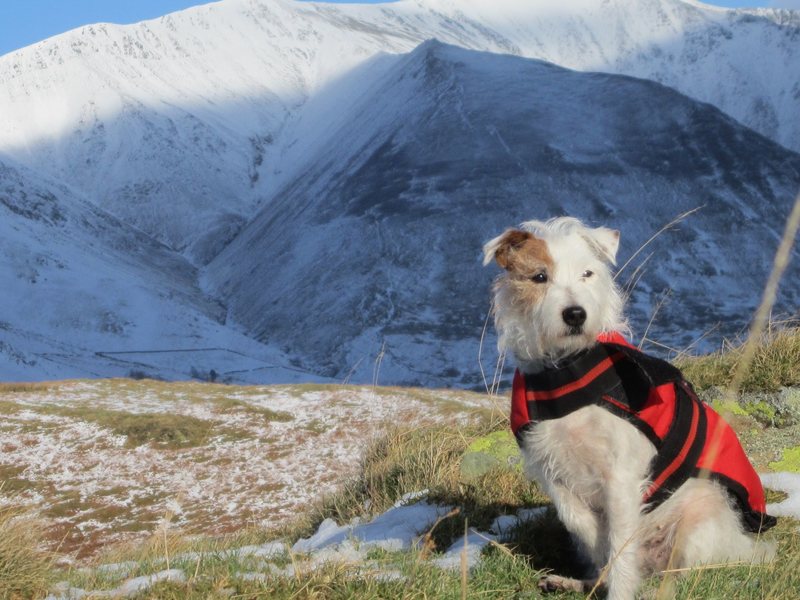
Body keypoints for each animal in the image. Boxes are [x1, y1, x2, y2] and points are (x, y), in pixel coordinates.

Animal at [482, 218, 776, 600]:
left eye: (587, 273)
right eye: (539, 277)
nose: (575, 314)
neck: (566, 369)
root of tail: (747, 547)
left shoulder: (620, 476)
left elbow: (620, 545)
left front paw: (618, 590)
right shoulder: (552, 471)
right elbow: (587, 527)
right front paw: (598, 565)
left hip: (700, 521)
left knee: (679, 576)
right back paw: (572, 581)